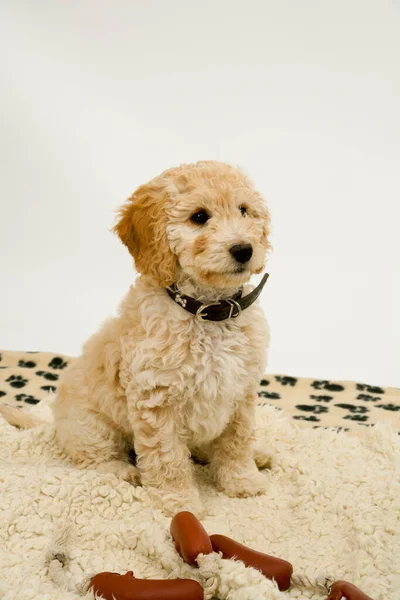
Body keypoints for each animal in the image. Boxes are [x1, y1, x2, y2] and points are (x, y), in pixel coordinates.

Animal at [52, 161, 272, 516]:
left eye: (244, 210)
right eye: (199, 216)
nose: (244, 249)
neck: (207, 312)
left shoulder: (242, 392)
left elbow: (237, 441)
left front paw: (243, 481)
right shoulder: (156, 399)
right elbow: (168, 457)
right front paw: (179, 502)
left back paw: (257, 455)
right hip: (89, 426)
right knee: (94, 458)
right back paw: (124, 472)